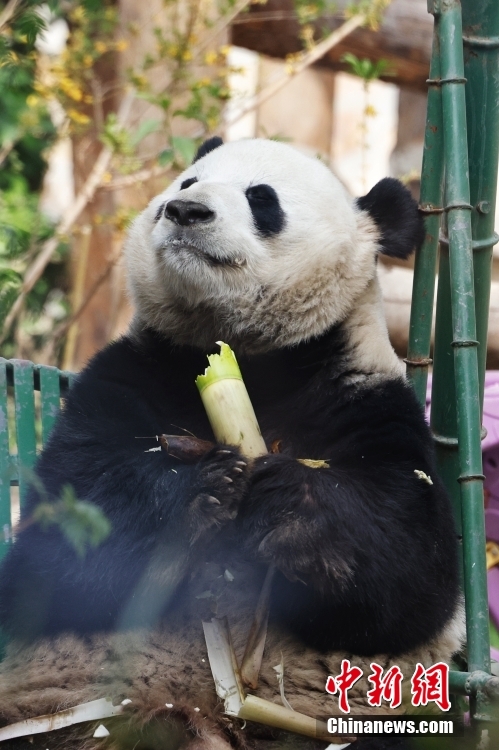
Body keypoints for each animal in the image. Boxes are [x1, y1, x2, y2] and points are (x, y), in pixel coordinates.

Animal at [0, 140, 464, 750]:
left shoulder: (367, 398)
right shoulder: (125, 377)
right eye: (185, 182)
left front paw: (292, 507)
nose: (185, 211)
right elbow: (54, 546)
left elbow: (415, 577)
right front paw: (199, 492)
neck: (247, 356)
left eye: (262, 199)